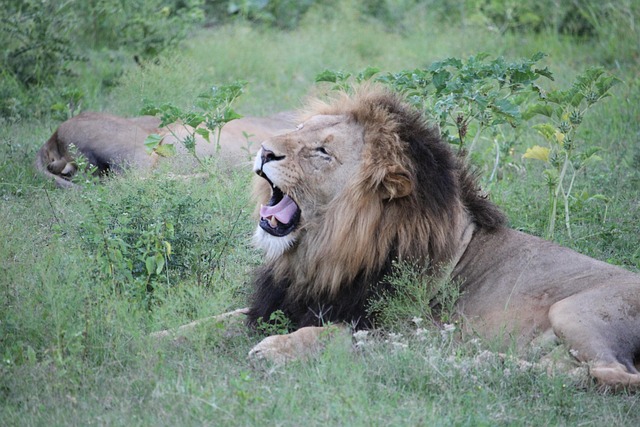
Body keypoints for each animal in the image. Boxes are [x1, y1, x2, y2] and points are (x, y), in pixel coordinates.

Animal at [244, 86, 640, 390]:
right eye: (299, 128)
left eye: (323, 152)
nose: (263, 150)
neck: (322, 252)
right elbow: (231, 317)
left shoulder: (400, 327)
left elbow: (329, 333)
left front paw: (275, 348)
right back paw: (487, 360)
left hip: (572, 312)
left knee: (613, 373)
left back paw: (476, 362)